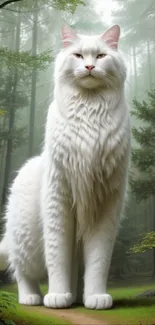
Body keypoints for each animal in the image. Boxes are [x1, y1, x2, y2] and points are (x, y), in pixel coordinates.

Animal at [0, 24, 131, 308]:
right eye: (79, 55)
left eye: (101, 56)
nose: (90, 66)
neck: (90, 112)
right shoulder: (58, 197)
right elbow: (57, 256)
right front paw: (57, 296)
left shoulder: (106, 203)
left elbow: (98, 262)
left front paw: (95, 297)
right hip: (28, 240)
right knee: (22, 271)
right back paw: (34, 298)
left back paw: (76, 297)